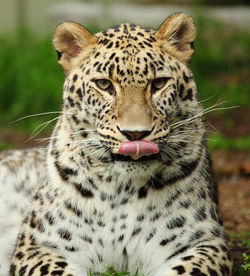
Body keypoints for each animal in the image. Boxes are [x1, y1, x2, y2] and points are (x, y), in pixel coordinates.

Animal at [1, 12, 232, 276]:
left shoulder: (205, 242)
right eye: (104, 85)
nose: (135, 134)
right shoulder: (38, 244)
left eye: (159, 83)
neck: (123, 190)